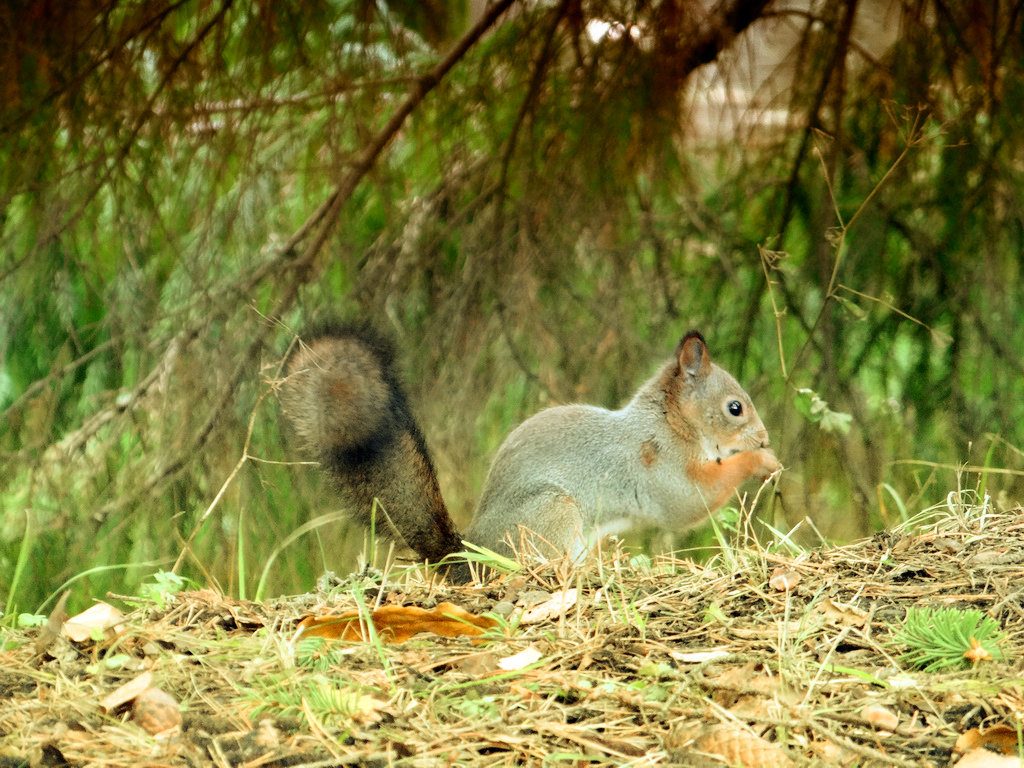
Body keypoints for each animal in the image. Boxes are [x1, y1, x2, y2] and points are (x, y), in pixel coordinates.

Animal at [276, 323, 778, 581]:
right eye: (734, 408)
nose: (764, 438)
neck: (668, 423)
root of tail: (473, 554)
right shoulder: (656, 465)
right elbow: (689, 505)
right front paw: (760, 463)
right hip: (550, 513)